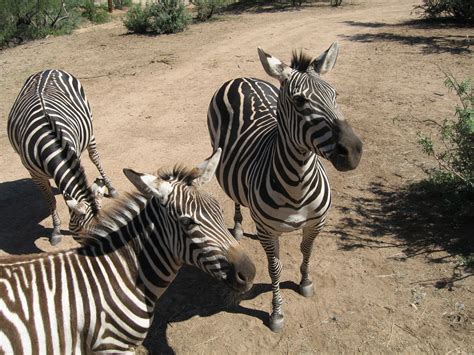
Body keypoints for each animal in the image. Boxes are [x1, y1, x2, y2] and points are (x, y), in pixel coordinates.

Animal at [7, 70, 117, 248]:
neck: (48, 143)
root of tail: (47, 70)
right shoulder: (35, 175)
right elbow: (51, 201)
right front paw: (56, 231)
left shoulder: (73, 155)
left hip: (90, 128)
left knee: (94, 157)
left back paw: (111, 187)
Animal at [207, 43, 362, 332]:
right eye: (300, 101)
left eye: (335, 94)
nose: (354, 151)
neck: (297, 185)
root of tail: (241, 78)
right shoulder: (267, 232)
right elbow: (275, 269)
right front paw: (277, 313)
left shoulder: (316, 223)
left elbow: (307, 251)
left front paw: (305, 282)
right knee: (235, 196)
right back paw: (237, 226)